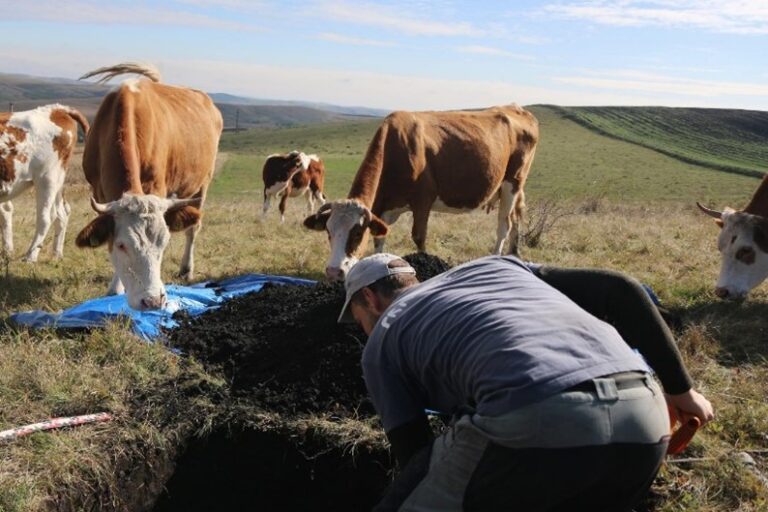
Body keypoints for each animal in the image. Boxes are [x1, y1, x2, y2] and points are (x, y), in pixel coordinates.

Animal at [0, 105, 89, 262]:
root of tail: (57, 109)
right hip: (58, 180)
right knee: (63, 212)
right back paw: (56, 254)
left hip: (46, 178)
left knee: (46, 217)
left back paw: (30, 256)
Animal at [74, 64, 222, 312]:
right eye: (122, 245)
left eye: (164, 242)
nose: (152, 301)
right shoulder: (99, 191)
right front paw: (115, 288)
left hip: (203, 183)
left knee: (193, 229)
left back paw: (186, 268)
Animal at [304, 104, 536, 280]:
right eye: (328, 231)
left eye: (357, 233)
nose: (333, 272)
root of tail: (515, 107)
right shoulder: (383, 209)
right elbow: (380, 239)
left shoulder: (423, 200)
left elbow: (419, 237)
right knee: (515, 218)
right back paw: (514, 252)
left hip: (512, 182)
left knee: (504, 225)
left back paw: (497, 259)